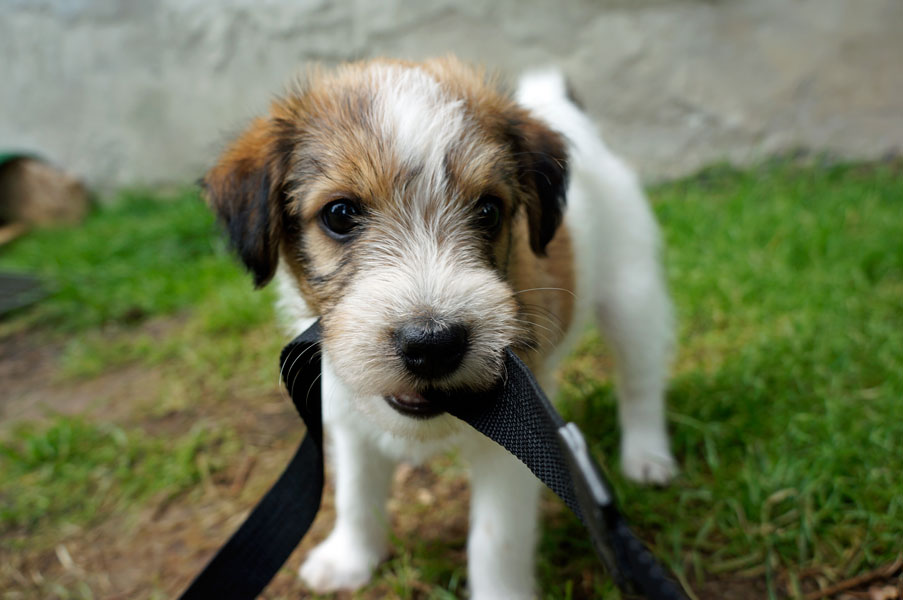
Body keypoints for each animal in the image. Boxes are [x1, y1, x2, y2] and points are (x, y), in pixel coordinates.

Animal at [203, 57, 676, 599]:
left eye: (488, 210)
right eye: (339, 214)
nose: (432, 345)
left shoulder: (518, 445)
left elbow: (496, 543)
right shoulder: (345, 416)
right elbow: (355, 493)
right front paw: (350, 559)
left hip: (632, 298)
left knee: (639, 382)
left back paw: (647, 456)